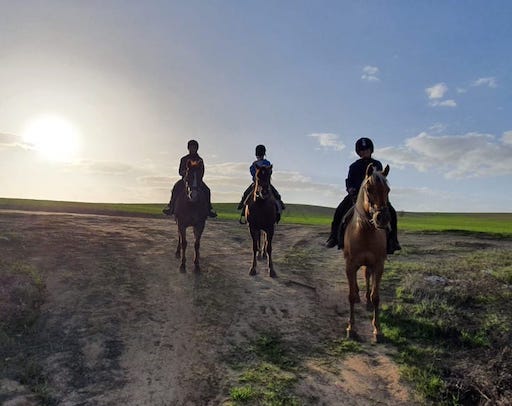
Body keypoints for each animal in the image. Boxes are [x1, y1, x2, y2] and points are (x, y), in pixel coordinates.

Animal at [344, 163, 392, 342]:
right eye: (369, 189)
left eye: (388, 190)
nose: (382, 218)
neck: (365, 231)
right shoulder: (350, 265)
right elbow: (350, 295)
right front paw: (351, 328)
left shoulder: (378, 265)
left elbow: (376, 296)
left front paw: (377, 329)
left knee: (367, 276)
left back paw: (366, 300)